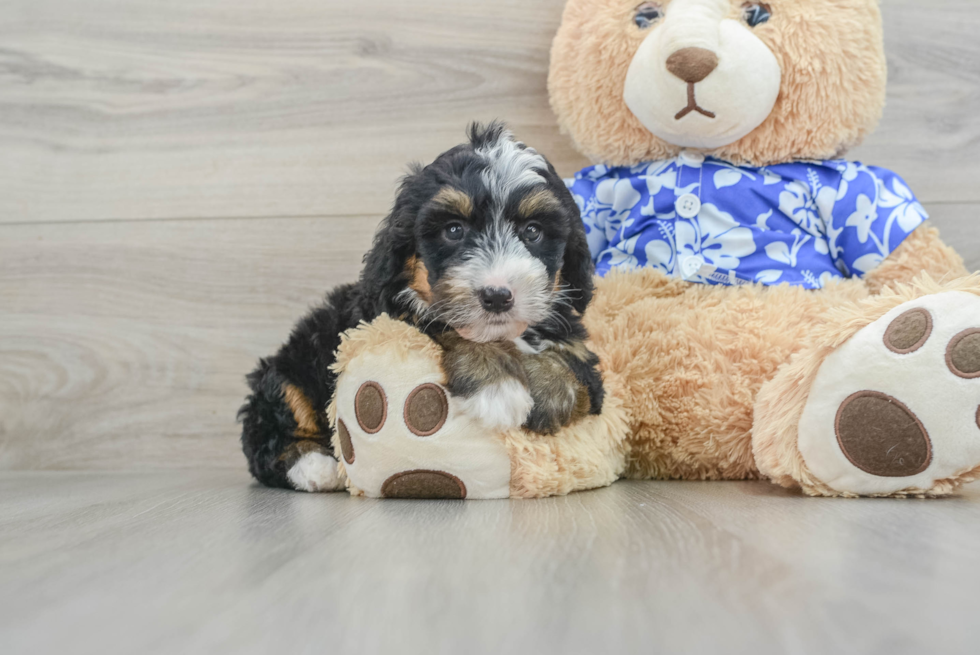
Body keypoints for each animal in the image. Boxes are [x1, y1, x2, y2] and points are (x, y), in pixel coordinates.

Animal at [239, 121, 604, 492]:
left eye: (532, 231)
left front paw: (549, 393)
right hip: (290, 370)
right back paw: (314, 466)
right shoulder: (386, 314)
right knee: (266, 433)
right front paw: (496, 385)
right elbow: (440, 323)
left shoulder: (583, 355)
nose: (497, 295)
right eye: (453, 230)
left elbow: (575, 363)